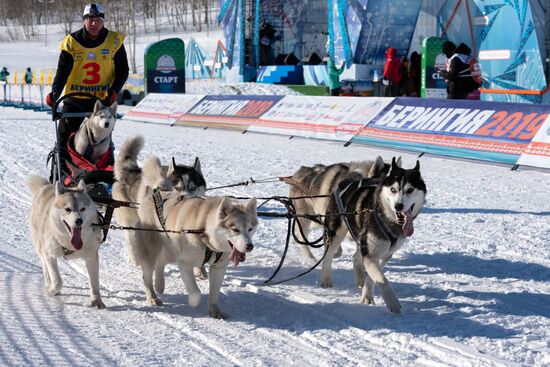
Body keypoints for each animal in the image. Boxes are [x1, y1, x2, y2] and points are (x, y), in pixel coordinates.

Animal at [27, 177, 105, 310]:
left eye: (82, 209)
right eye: (68, 209)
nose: (79, 221)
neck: (69, 243)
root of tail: (46, 186)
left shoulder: (91, 257)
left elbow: (94, 282)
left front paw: (96, 301)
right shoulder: (50, 255)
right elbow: (57, 281)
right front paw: (50, 291)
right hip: (41, 248)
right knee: (46, 269)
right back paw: (49, 284)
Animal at [322, 158, 430, 314]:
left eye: (410, 190)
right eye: (393, 190)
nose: (398, 206)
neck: (385, 217)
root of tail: (347, 181)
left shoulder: (383, 255)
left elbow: (373, 277)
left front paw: (367, 296)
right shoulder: (371, 254)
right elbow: (382, 279)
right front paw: (393, 303)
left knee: (356, 257)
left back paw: (360, 280)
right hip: (336, 231)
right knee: (328, 255)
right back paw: (325, 280)